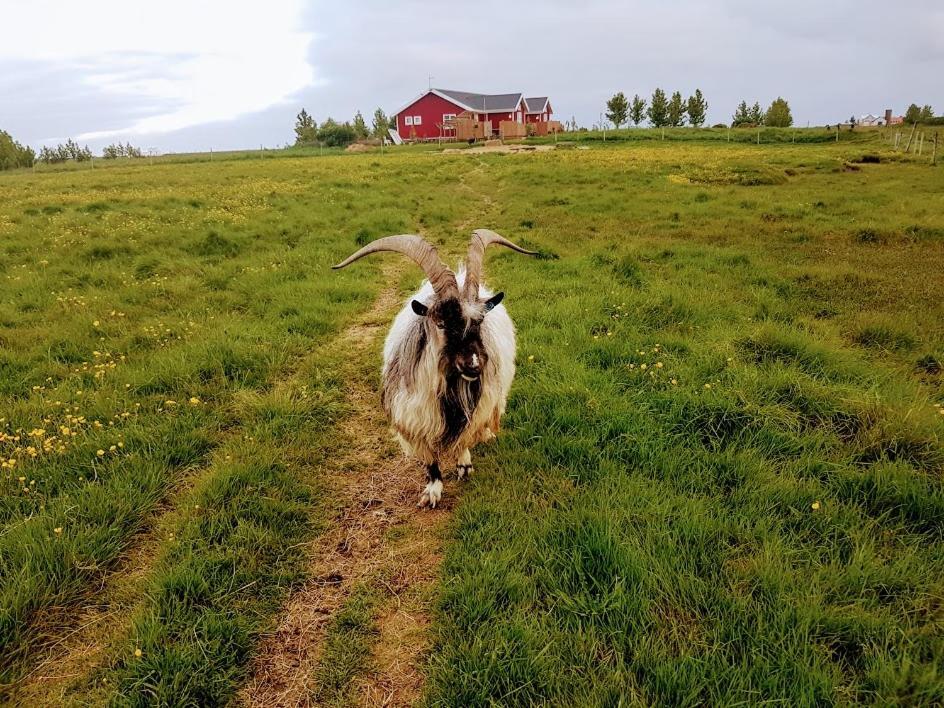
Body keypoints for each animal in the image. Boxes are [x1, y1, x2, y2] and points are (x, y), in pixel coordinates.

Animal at [336, 230, 536, 506]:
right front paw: (432, 491)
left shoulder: (476, 406)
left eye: (480, 321)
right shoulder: (414, 415)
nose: (474, 365)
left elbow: (465, 437)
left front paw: (464, 465)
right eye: (440, 323)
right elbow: (429, 457)